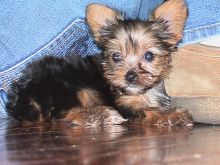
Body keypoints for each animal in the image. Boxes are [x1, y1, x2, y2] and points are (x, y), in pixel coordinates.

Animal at [6, 0, 192, 125]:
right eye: (116, 56)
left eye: (149, 56)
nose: (130, 76)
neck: (142, 91)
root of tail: (19, 96)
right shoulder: (122, 104)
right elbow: (145, 110)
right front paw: (171, 115)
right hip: (70, 87)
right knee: (61, 115)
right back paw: (100, 115)